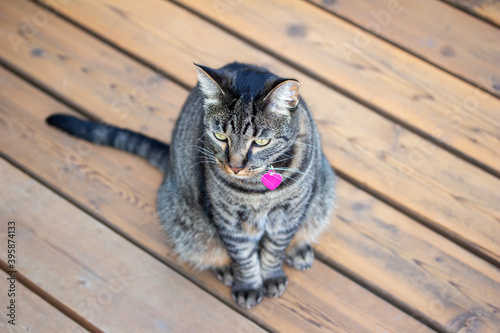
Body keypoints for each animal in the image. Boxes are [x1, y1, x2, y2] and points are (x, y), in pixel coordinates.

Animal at [47, 61, 336, 306]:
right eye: (220, 137)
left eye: (261, 142)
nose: (235, 166)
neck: (258, 189)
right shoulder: (228, 219)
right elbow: (243, 256)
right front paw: (249, 284)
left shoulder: (290, 213)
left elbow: (274, 249)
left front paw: (271, 275)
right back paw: (225, 267)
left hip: (323, 191)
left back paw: (298, 249)